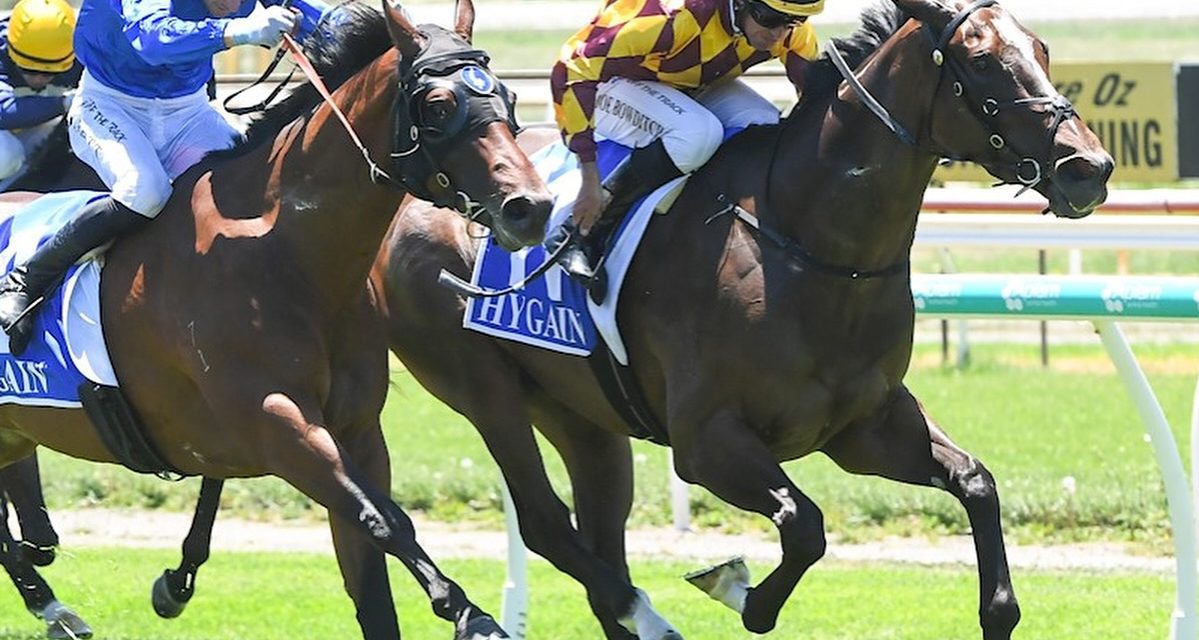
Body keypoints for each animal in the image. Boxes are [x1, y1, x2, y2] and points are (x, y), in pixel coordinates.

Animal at [0, 1, 549, 640]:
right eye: (437, 106)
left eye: (507, 97)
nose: (531, 207)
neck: (287, 251)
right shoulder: (278, 424)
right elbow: (384, 519)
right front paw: (470, 614)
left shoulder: (356, 430)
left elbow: (371, 579)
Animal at [371, 2, 1112, 637]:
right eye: (980, 61)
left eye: (1042, 48)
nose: (1089, 168)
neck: (810, 247)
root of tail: (409, 204)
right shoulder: (706, 441)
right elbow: (803, 523)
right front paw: (739, 591)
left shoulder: (864, 426)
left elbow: (975, 482)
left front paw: (998, 609)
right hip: (483, 388)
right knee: (547, 525)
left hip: (580, 413)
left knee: (598, 538)